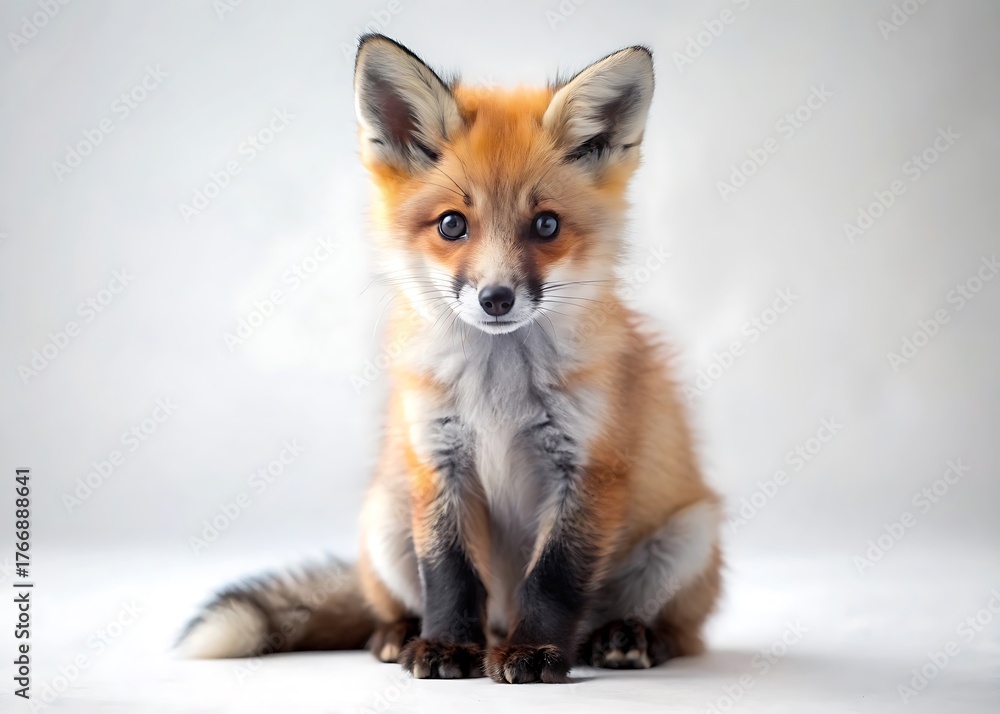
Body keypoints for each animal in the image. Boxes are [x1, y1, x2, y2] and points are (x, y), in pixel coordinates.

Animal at [177, 34, 723, 684]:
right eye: (452, 225)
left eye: (546, 225)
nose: (496, 298)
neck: (498, 392)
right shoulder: (437, 459)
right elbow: (448, 572)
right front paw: (445, 647)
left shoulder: (588, 467)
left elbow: (555, 577)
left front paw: (536, 652)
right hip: (385, 514)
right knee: (396, 608)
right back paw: (403, 635)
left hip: (688, 534)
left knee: (680, 634)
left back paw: (624, 637)